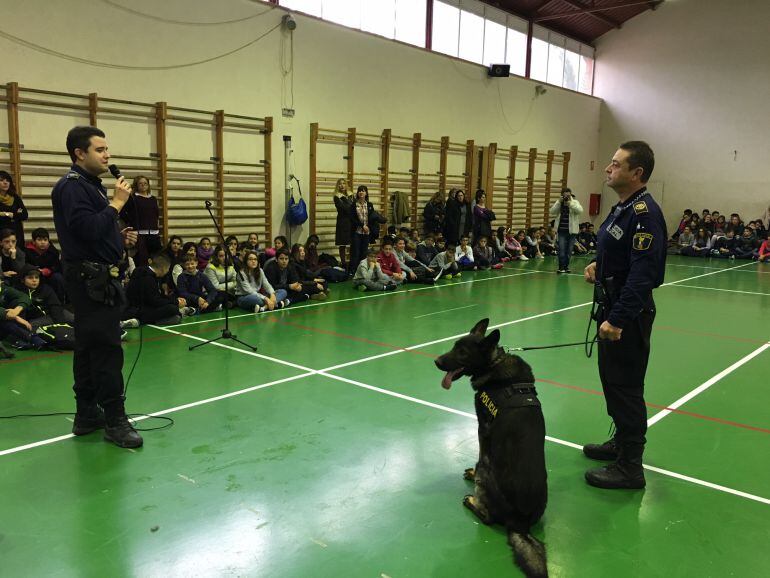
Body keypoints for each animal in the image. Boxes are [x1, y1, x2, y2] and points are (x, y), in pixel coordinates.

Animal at [432, 318, 544, 572]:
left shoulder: (483, 431)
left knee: (488, 518)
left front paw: (471, 475)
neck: (493, 364)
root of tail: (520, 525)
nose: (437, 361)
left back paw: (472, 501)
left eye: (462, 353)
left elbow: (481, 452)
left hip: (486, 471)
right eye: (454, 346)